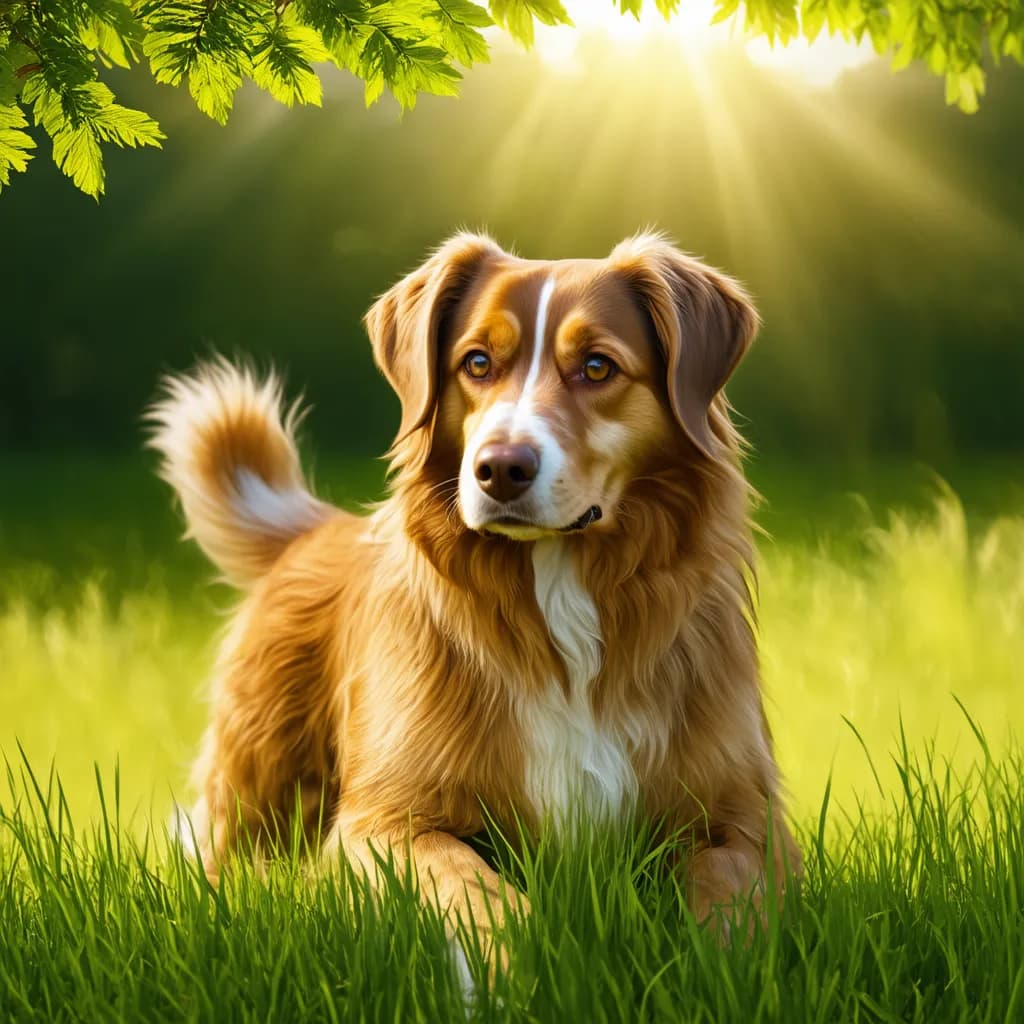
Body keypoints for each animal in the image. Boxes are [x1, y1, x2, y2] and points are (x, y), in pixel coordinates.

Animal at [148, 232, 798, 950]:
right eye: (477, 363)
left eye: (598, 367)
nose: (499, 469)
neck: (559, 592)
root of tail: (313, 529)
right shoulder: (383, 820)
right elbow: (472, 884)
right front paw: (514, 960)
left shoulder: (748, 816)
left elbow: (728, 899)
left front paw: (707, 960)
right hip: (257, 788)